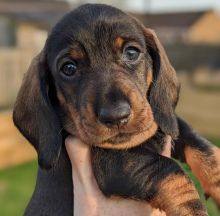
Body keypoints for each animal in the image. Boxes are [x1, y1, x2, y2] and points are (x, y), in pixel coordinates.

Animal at [13, 3, 220, 216]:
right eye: (68, 68)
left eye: (131, 52)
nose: (116, 116)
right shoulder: (112, 163)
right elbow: (170, 171)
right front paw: (193, 210)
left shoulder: (159, 120)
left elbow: (199, 144)